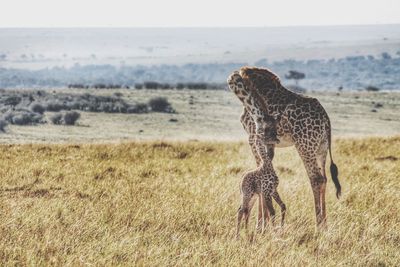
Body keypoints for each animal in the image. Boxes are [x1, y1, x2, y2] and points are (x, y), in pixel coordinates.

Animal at [228, 66, 340, 226]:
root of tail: (326, 118)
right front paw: (266, 222)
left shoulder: (252, 137)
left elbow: (259, 169)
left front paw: (260, 224)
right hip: (321, 147)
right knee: (324, 178)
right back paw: (325, 224)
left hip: (305, 145)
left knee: (316, 178)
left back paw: (318, 225)